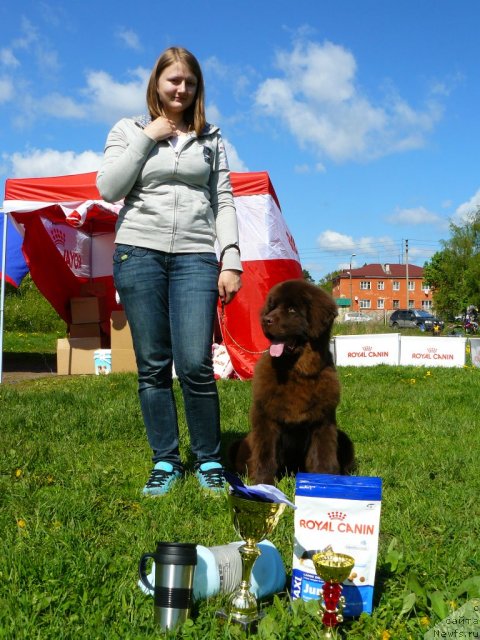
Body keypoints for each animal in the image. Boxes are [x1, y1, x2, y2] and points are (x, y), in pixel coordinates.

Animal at [231, 278, 354, 482]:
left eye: (291, 310)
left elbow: (323, 455)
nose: (266, 320)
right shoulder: (265, 418)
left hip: (343, 438)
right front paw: (263, 483)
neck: (297, 371)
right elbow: (265, 455)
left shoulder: (323, 421)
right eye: (272, 307)